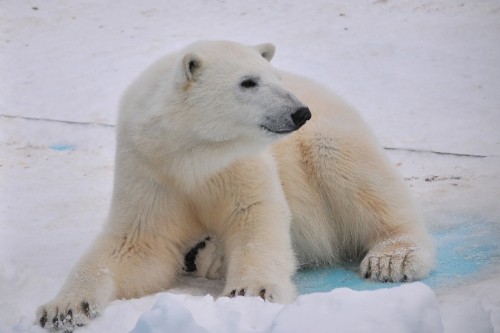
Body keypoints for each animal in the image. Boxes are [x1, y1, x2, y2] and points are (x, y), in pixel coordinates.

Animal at [36, 40, 434, 330]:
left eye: (276, 77)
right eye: (248, 82)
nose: (300, 112)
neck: (190, 154)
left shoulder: (237, 162)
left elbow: (255, 216)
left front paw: (250, 292)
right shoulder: (149, 167)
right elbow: (135, 244)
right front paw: (62, 309)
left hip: (332, 140)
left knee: (351, 169)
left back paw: (392, 258)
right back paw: (204, 254)